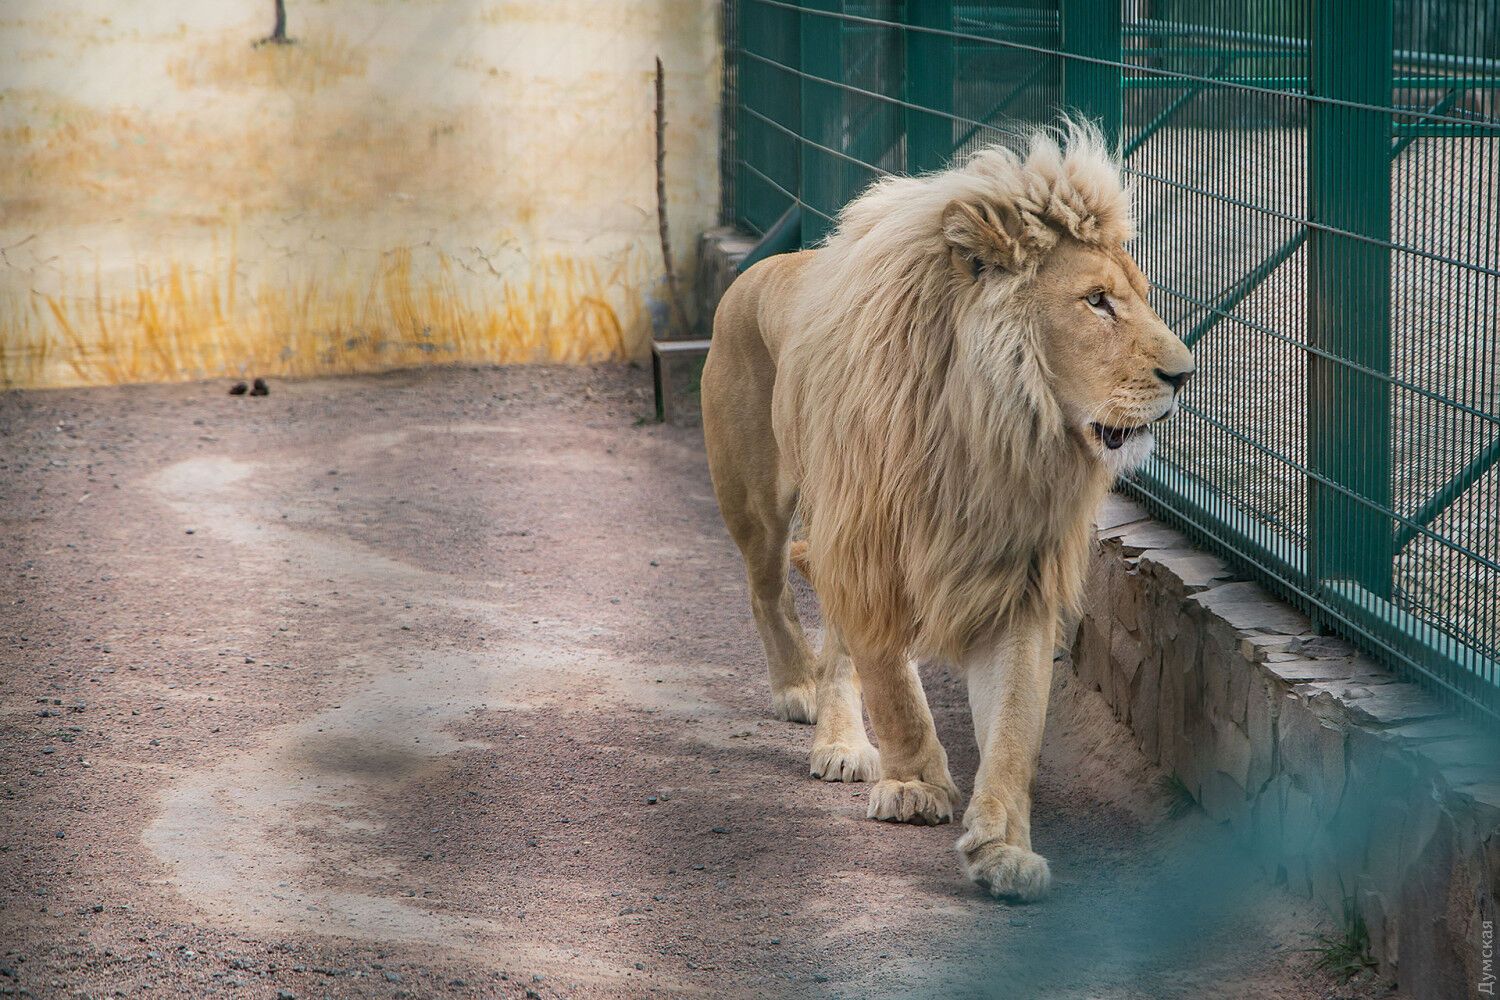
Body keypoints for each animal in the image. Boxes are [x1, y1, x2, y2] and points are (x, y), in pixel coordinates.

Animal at [702, 122, 1194, 899]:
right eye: (1095, 301)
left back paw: (842, 738)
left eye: (1138, 297)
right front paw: (917, 787)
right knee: (769, 590)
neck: (987, 430)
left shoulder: (1016, 579)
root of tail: (760, 266)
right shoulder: (868, 551)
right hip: (756, 504)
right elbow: (894, 687)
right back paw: (798, 690)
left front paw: (1002, 847)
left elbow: (1016, 724)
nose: (1185, 375)